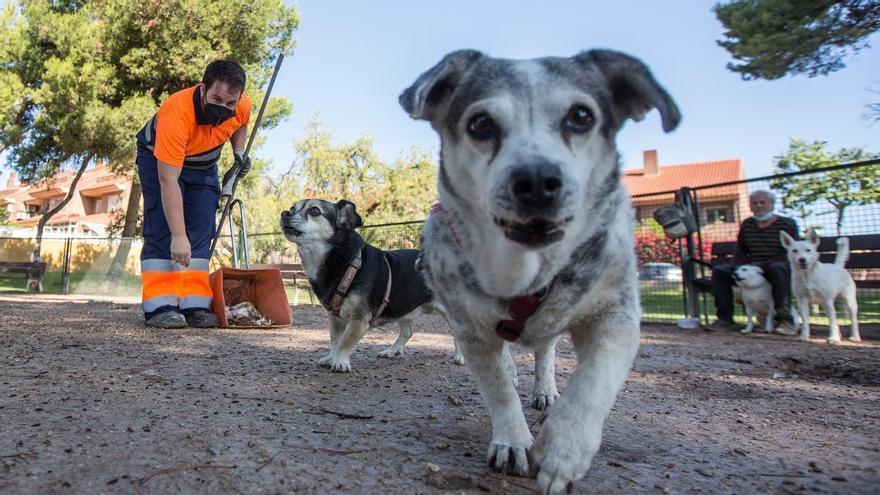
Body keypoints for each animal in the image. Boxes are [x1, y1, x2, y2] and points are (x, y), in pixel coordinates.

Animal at [282, 199, 464, 372]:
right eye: (292, 207)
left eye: (314, 210)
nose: (285, 213)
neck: (346, 261)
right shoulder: (335, 318)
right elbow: (335, 340)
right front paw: (331, 358)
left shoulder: (359, 319)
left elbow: (345, 341)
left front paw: (340, 361)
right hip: (402, 308)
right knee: (407, 332)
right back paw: (392, 351)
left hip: (452, 312)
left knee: (458, 334)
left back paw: (461, 357)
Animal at [398, 48, 680, 494]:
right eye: (480, 123)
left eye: (581, 116)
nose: (535, 179)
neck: (528, 270)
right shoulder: (470, 327)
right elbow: (497, 387)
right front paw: (512, 440)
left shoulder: (615, 315)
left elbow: (593, 383)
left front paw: (564, 450)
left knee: (546, 351)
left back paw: (545, 389)